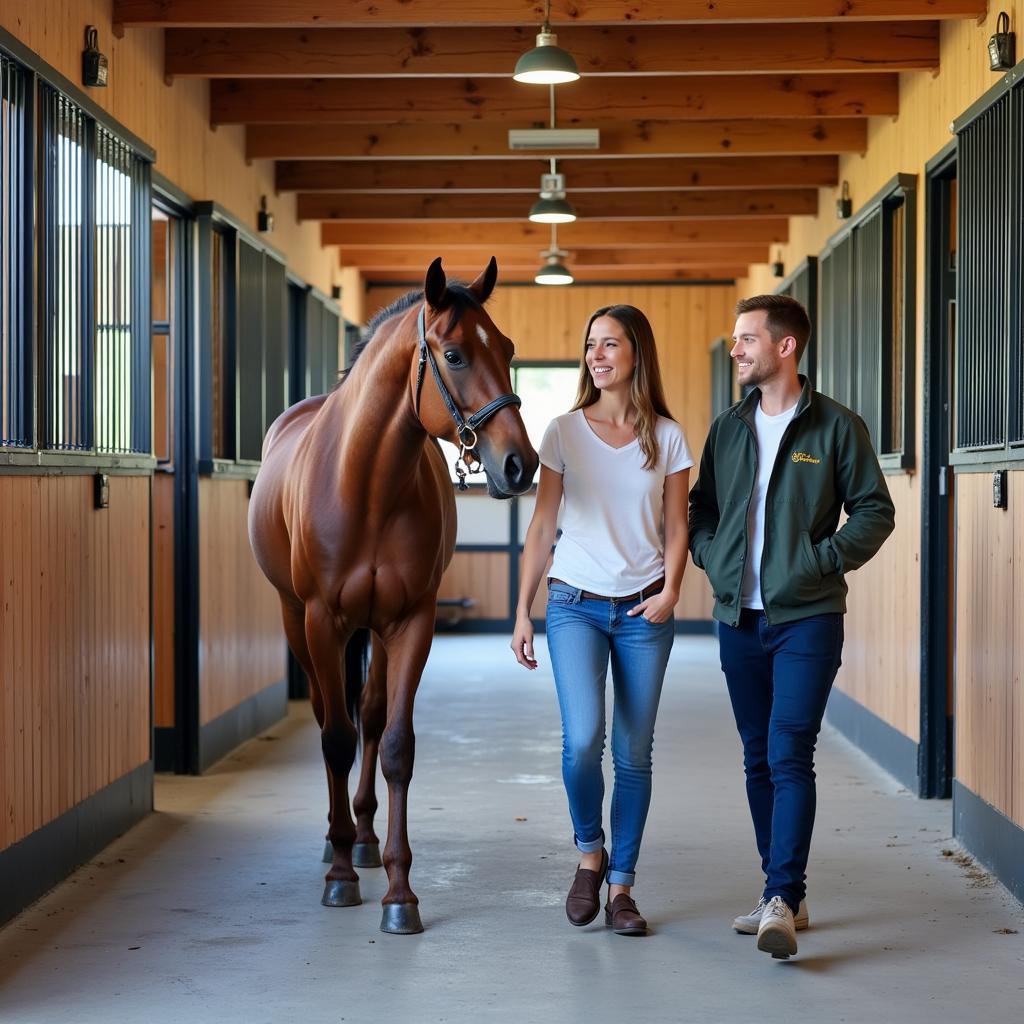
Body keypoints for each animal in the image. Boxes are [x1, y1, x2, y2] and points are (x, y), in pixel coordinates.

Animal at [248, 258, 540, 937]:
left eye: (508, 348)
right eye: (454, 355)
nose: (521, 465)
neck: (365, 484)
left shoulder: (411, 621)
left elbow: (397, 744)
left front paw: (400, 892)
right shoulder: (323, 621)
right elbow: (334, 737)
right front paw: (339, 878)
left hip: (376, 631)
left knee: (374, 715)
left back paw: (361, 836)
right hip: (298, 622)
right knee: (334, 718)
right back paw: (337, 843)